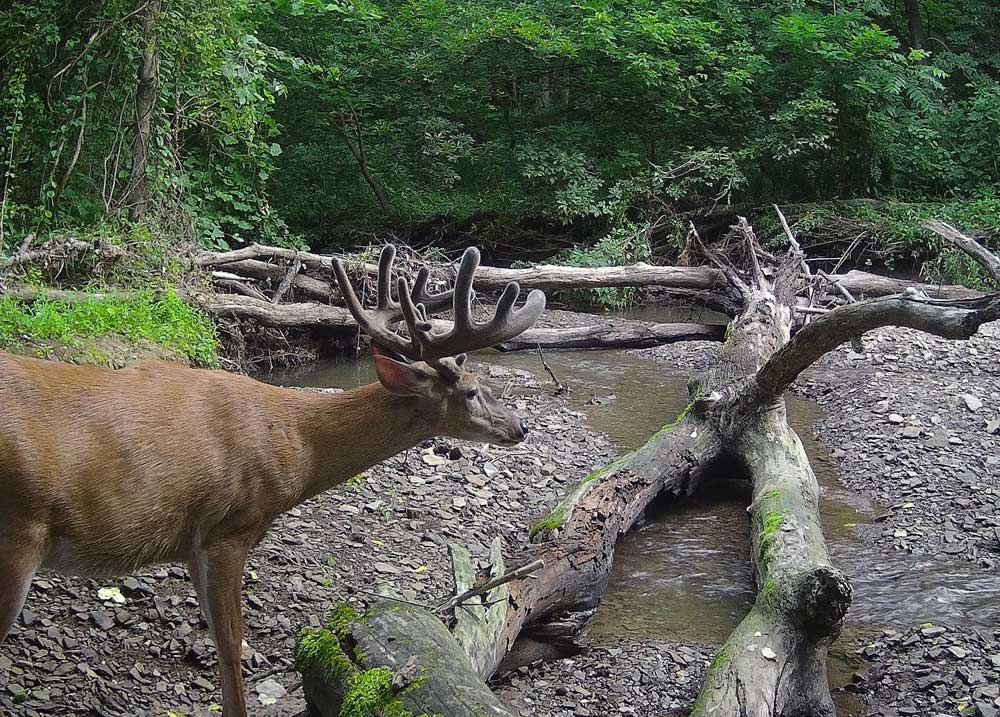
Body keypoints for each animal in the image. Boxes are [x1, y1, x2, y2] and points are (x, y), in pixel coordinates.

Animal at [0, 245, 548, 712]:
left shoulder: (193, 542)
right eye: (472, 391)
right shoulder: (228, 526)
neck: (293, 444)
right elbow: (231, 646)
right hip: (17, 533)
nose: (520, 427)